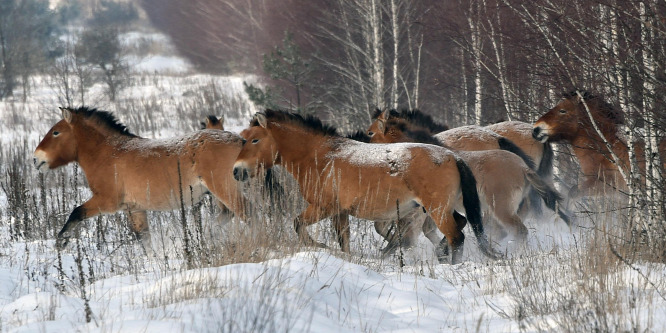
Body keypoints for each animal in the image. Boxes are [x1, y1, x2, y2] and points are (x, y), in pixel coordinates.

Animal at [33, 106, 254, 249]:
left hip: (225, 190)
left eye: (56, 132)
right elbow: (144, 240)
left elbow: (76, 212)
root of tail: (241, 141)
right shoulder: (135, 209)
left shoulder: (106, 202)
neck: (108, 153)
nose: (36, 159)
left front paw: (62, 241)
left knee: (248, 214)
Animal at [231, 109, 496, 262]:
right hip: (441, 208)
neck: (320, 157)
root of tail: (453, 157)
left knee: (456, 237)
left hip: (437, 210)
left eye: (254, 140)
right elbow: (344, 240)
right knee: (460, 224)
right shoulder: (339, 212)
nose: (237, 170)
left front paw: (319, 245)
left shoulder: (323, 207)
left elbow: (298, 224)